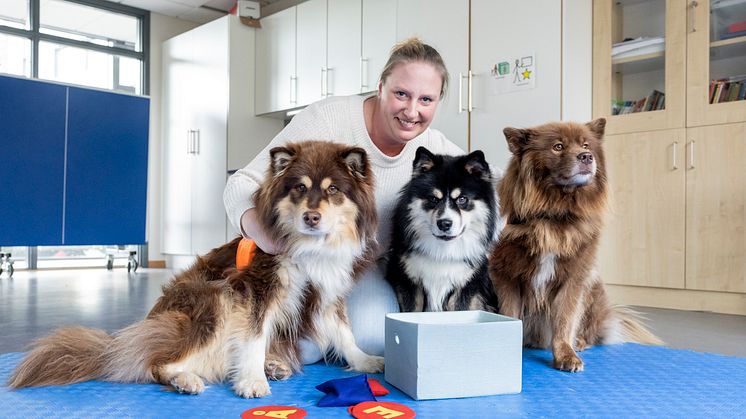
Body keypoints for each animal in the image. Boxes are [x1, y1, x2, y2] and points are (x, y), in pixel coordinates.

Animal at [8, 140, 384, 398]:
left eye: (333, 189)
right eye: (299, 188)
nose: (311, 217)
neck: (310, 248)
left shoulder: (326, 295)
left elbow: (345, 334)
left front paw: (366, 361)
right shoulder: (255, 290)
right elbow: (253, 338)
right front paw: (251, 380)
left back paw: (272, 365)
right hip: (213, 300)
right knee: (157, 364)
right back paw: (186, 379)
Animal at [384, 146, 500, 314]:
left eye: (462, 199)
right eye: (433, 199)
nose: (444, 223)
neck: (443, 252)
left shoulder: (466, 283)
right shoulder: (408, 280)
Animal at [488, 120, 656, 372]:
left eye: (585, 145)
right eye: (558, 146)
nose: (586, 157)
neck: (554, 213)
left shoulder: (573, 278)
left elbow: (565, 320)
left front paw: (566, 355)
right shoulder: (507, 275)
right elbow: (510, 313)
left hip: (594, 288)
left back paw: (580, 342)